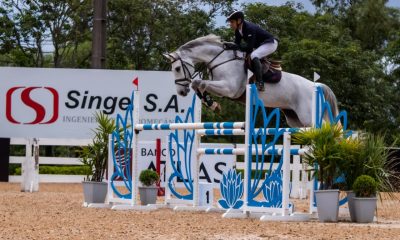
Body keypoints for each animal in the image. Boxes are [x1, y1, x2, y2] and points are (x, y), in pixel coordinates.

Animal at [162, 35, 338, 128]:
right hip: (295, 119)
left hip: (308, 116)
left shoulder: (229, 89)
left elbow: (199, 83)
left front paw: (212, 104)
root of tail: (316, 85)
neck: (221, 59)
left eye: (177, 68)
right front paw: (211, 103)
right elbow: (198, 85)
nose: (181, 92)